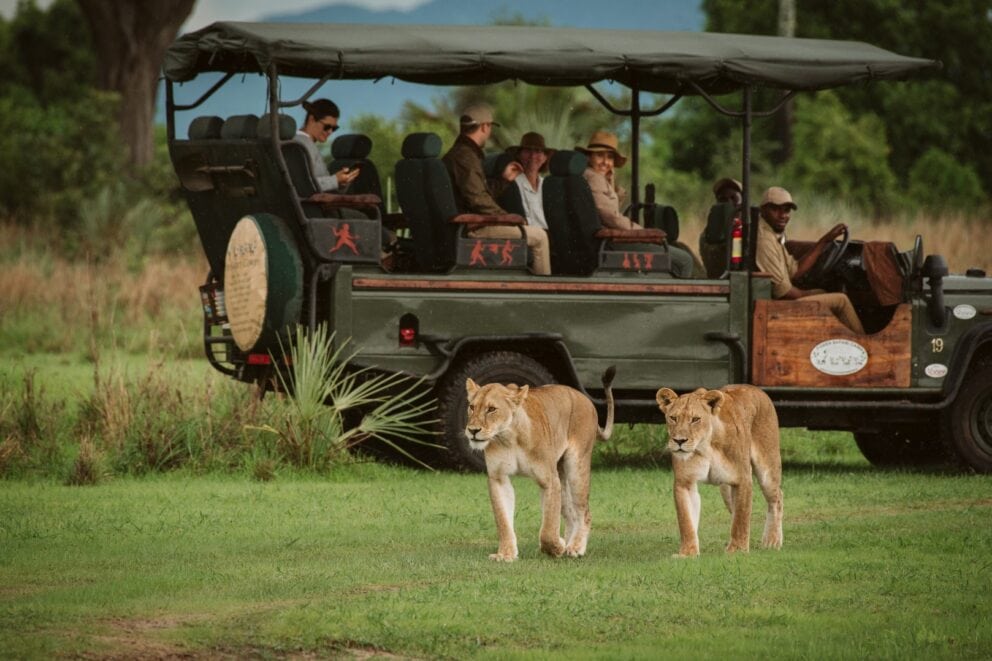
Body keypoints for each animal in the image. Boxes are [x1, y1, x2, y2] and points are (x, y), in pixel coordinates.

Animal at [464, 367, 616, 562]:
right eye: (472, 407)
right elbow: (503, 520)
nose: (473, 430)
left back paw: (575, 547)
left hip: (576, 466)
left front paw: (556, 547)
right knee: (571, 514)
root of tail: (584, 398)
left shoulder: (549, 480)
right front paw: (506, 554)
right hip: (561, 475)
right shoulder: (498, 478)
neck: (509, 438)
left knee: (584, 513)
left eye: (491, 409)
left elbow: (548, 528)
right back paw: (569, 542)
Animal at [655, 384, 783, 558]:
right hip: (726, 490)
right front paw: (687, 553)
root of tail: (754, 388)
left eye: (695, 419)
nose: (679, 441)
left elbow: (741, 518)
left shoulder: (742, 479)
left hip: (767, 468)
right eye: (673, 418)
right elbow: (686, 521)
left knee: (776, 498)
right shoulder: (685, 482)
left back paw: (772, 541)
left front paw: (737, 550)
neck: (705, 445)